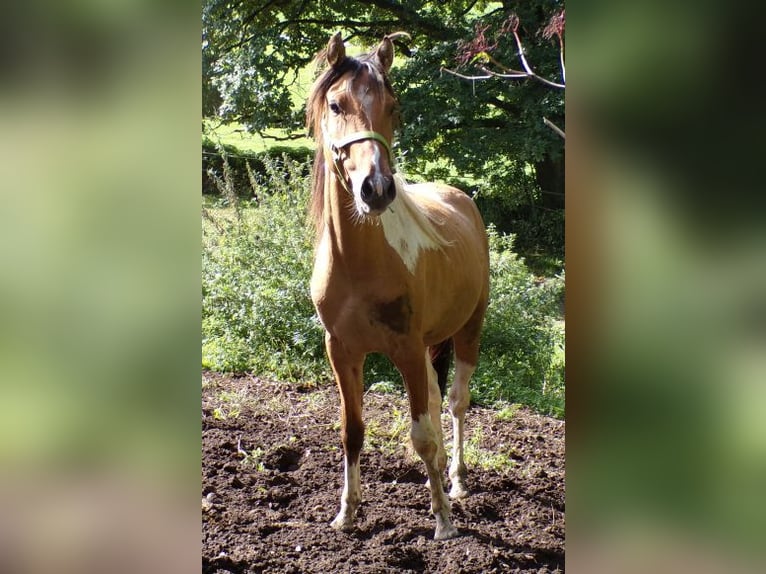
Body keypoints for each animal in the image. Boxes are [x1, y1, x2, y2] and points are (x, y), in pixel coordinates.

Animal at [306, 31, 490, 540]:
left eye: (393, 105)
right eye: (335, 103)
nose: (377, 188)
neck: (358, 265)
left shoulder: (405, 349)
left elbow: (421, 434)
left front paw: (443, 520)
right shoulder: (342, 350)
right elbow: (352, 431)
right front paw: (347, 513)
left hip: (469, 328)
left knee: (456, 402)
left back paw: (457, 480)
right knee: (437, 397)